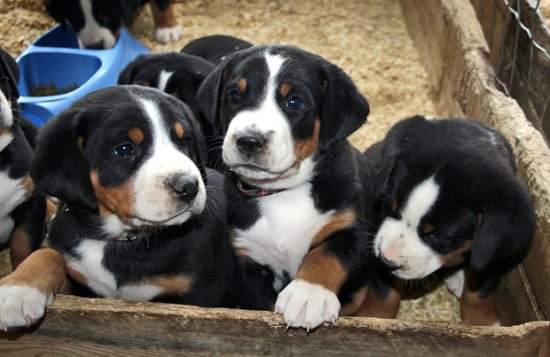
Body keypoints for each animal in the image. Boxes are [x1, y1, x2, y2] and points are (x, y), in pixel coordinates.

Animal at [0, 85, 236, 330]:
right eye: (124, 149)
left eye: (184, 141)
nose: (189, 186)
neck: (119, 239)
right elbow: (47, 253)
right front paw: (18, 290)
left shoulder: (199, 292)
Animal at [198, 44, 380, 330]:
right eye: (234, 95)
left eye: (294, 102)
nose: (249, 140)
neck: (283, 193)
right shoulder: (249, 260)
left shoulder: (352, 231)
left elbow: (325, 255)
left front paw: (307, 296)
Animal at [364, 116, 536, 326]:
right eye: (390, 208)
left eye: (436, 236)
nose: (386, 260)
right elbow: (383, 292)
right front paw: (374, 319)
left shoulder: (492, 250)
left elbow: (479, 293)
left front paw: (482, 323)